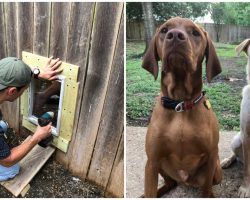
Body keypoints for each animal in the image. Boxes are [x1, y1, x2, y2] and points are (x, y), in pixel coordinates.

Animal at [143, 16, 223, 197]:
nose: (174, 36)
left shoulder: (211, 156)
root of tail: (185, 181)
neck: (179, 103)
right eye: (164, 30)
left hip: (217, 170)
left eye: (195, 32)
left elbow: (206, 189)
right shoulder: (152, 160)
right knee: (170, 182)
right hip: (158, 165)